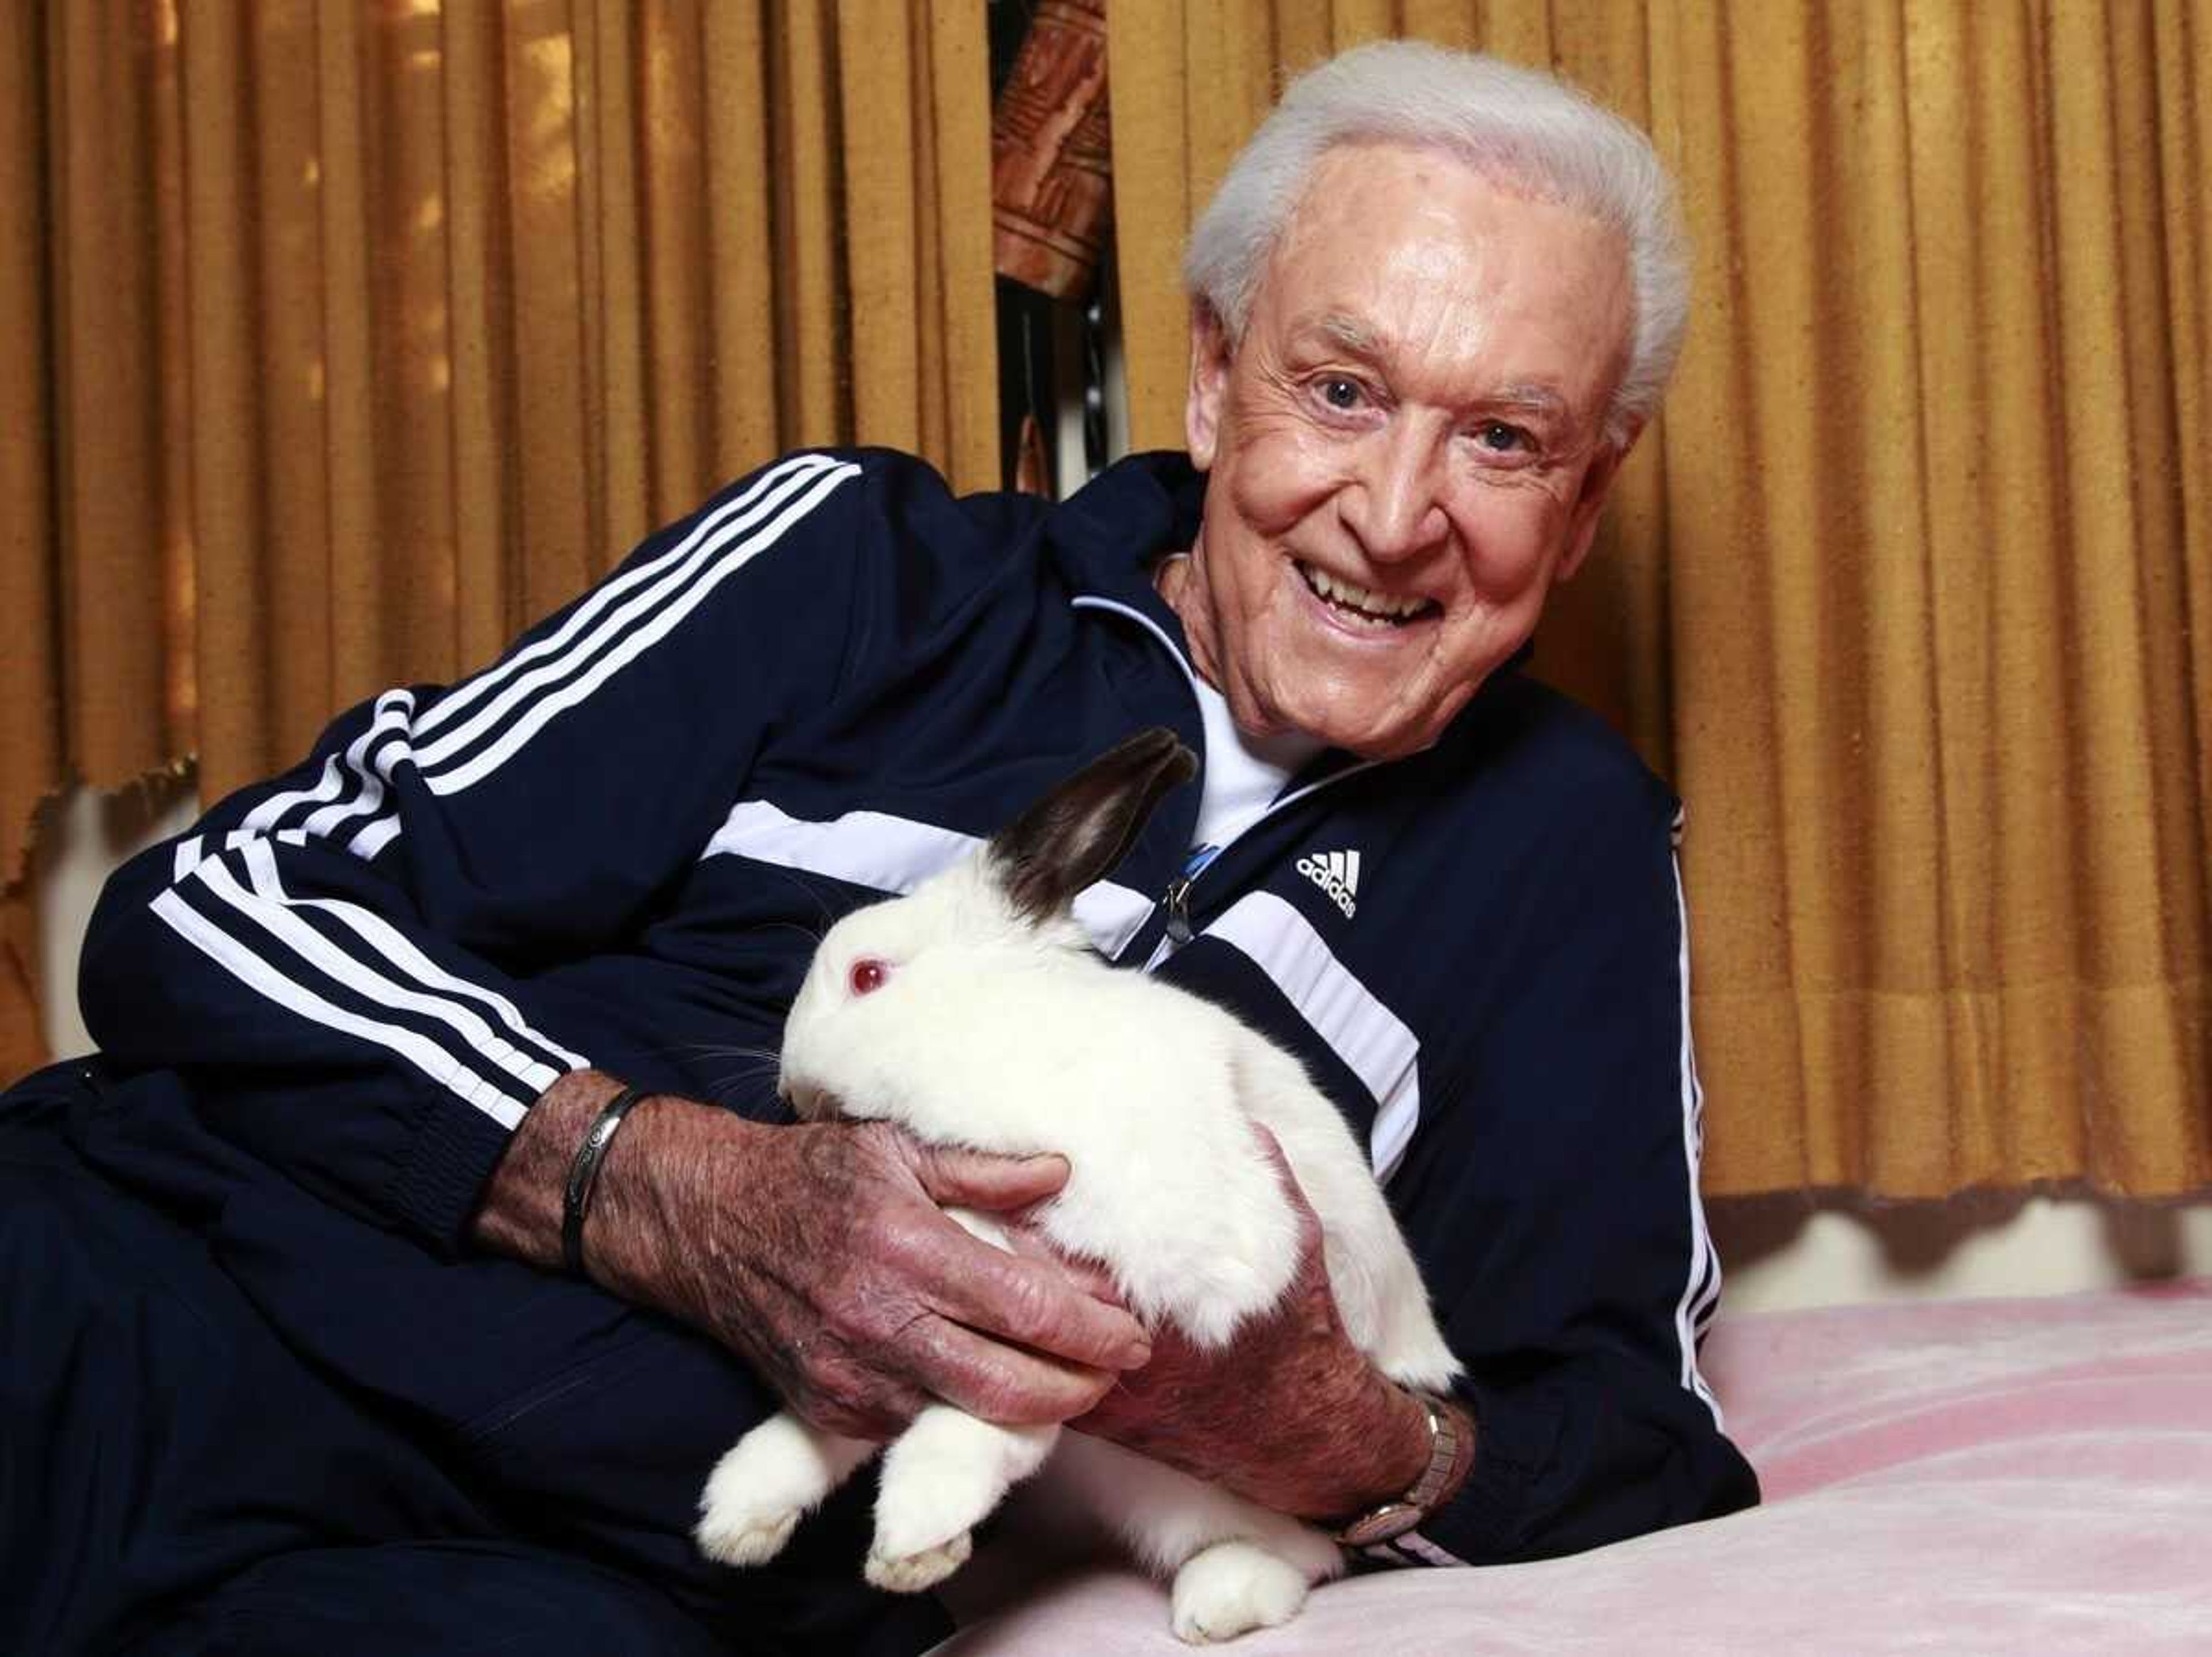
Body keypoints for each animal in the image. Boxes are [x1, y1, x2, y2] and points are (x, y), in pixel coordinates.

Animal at [699, 725, 1460, 1645]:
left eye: (869, 976)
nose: (791, 1088)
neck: (1000, 1031)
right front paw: (784, 1514)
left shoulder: (1142, 1283)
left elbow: (999, 1409)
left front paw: (917, 1524)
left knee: (1305, 1558)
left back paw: (1219, 1600)